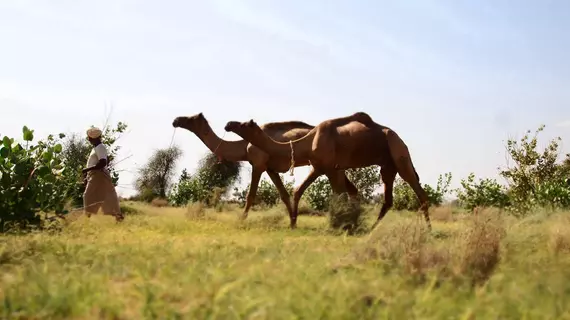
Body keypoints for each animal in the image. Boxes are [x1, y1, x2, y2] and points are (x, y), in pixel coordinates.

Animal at [170, 113, 360, 228]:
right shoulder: (270, 168)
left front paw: (241, 220)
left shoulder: (258, 164)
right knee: (351, 189)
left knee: (342, 190)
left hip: (330, 165)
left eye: (191, 119)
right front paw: (292, 222)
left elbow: (251, 194)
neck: (244, 147)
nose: (176, 120)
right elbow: (283, 194)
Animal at [224, 111, 428, 229]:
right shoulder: (320, 166)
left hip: (399, 153)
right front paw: (293, 222)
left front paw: (340, 225)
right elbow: (298, 191)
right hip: (388, 165)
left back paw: (428, 229)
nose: (228, 124)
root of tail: (401, 139)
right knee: (388, 199)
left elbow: (338, 196)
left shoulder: (330, 168)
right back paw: (371, 229)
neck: (309, 141)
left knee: (418, 190)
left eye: (244, 124)